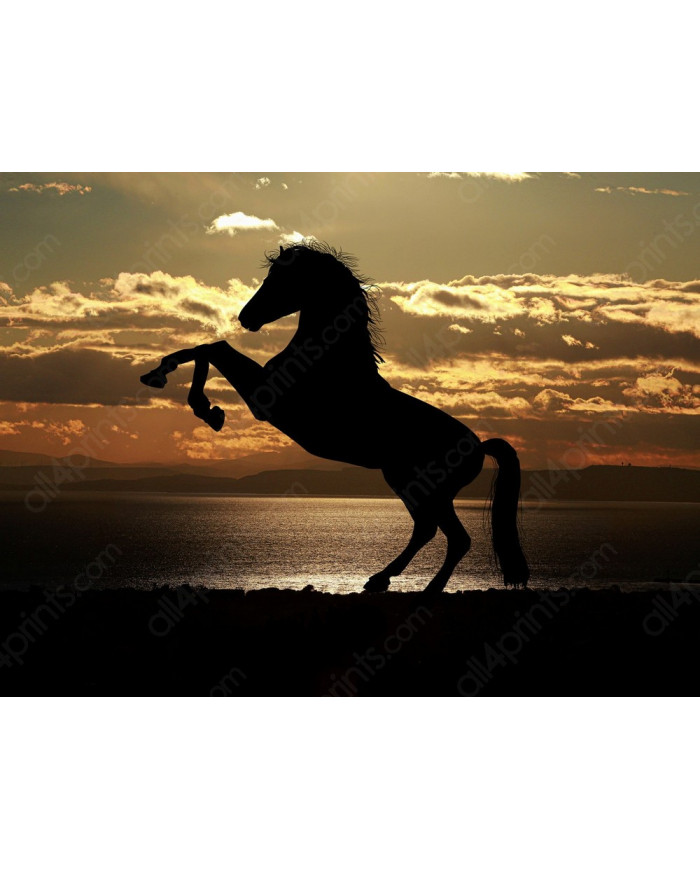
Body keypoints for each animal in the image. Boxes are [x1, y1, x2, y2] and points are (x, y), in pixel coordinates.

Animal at [140, 241, 529, 593]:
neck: (327, 360)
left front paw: (204, 407)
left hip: (421, 485)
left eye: (280, 279)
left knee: (450, 536)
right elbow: (206, 348)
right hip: (412, 484)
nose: (245, 318)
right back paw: (382, 580)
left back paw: (418, 586)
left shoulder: (264, 398)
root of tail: (479, 446)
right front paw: (163, 378)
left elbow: (213, 349)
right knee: (430, 530)